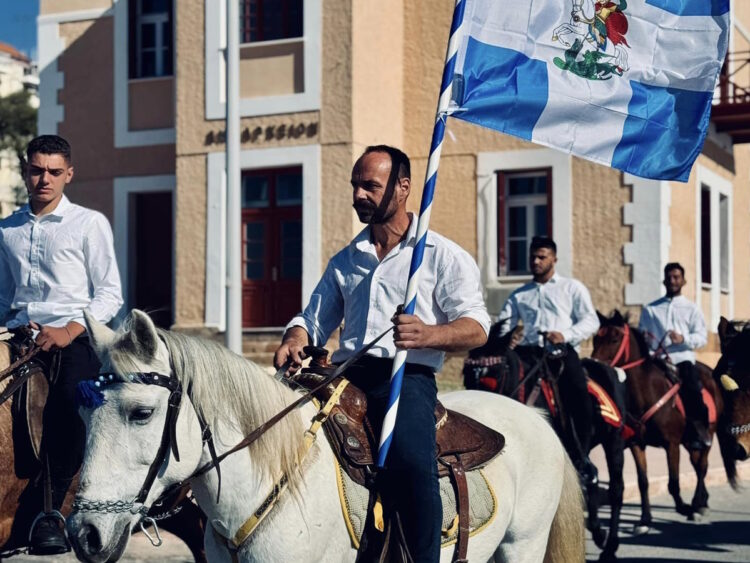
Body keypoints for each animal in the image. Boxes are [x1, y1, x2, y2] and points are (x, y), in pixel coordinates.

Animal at [592, 310, 724, 531]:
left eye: (614, 338)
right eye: (595, 338)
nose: (594, 365)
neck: (647, 393)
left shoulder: (672, 444)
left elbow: (673, 482)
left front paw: (685, 508)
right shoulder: (637, 444)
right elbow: (643, 481)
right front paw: (645, 520)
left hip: (708, 434)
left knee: (702, 466)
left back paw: (697, 505)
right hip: (690, 441)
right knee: (697, 464)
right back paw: (702, 502)